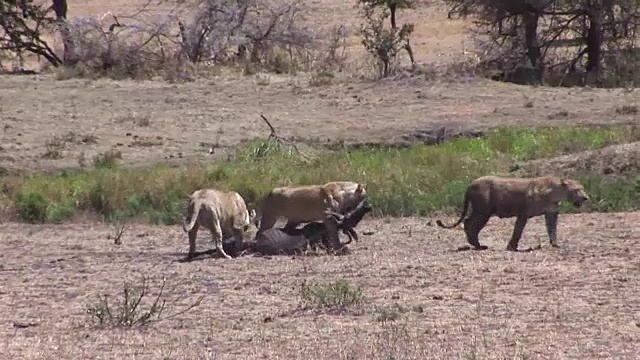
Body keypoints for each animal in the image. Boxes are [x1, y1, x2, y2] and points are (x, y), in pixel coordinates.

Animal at [436, 176, 592, 252]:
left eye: (582, 188)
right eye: (577, 189)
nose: (585, 198)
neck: (556, 193)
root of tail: (470, 184)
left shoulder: (551, 214)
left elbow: (552, 230)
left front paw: (555, 244)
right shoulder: (523, 213)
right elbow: (518, 231)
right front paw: (512, 247)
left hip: (483, 212)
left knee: (470, 224)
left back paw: (476, 244)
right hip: (483, 211)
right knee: (469, 223)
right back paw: (478, 245)